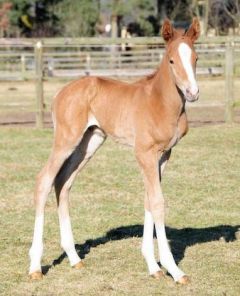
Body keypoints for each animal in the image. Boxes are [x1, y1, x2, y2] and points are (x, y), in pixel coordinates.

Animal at [28, 18, 201, 284]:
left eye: (196, 58)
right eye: (172, 60)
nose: (192, 93)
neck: (161, 102)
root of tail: (59, 93)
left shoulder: (163, 155)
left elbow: (149, 199)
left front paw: (153, 266)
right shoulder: (144, 153)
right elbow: (157, 202)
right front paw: (173, 269)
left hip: (90, 141)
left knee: (63, 182)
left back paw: (74, 258)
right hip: (66, 140)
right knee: (44, 180)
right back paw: (35, 266)